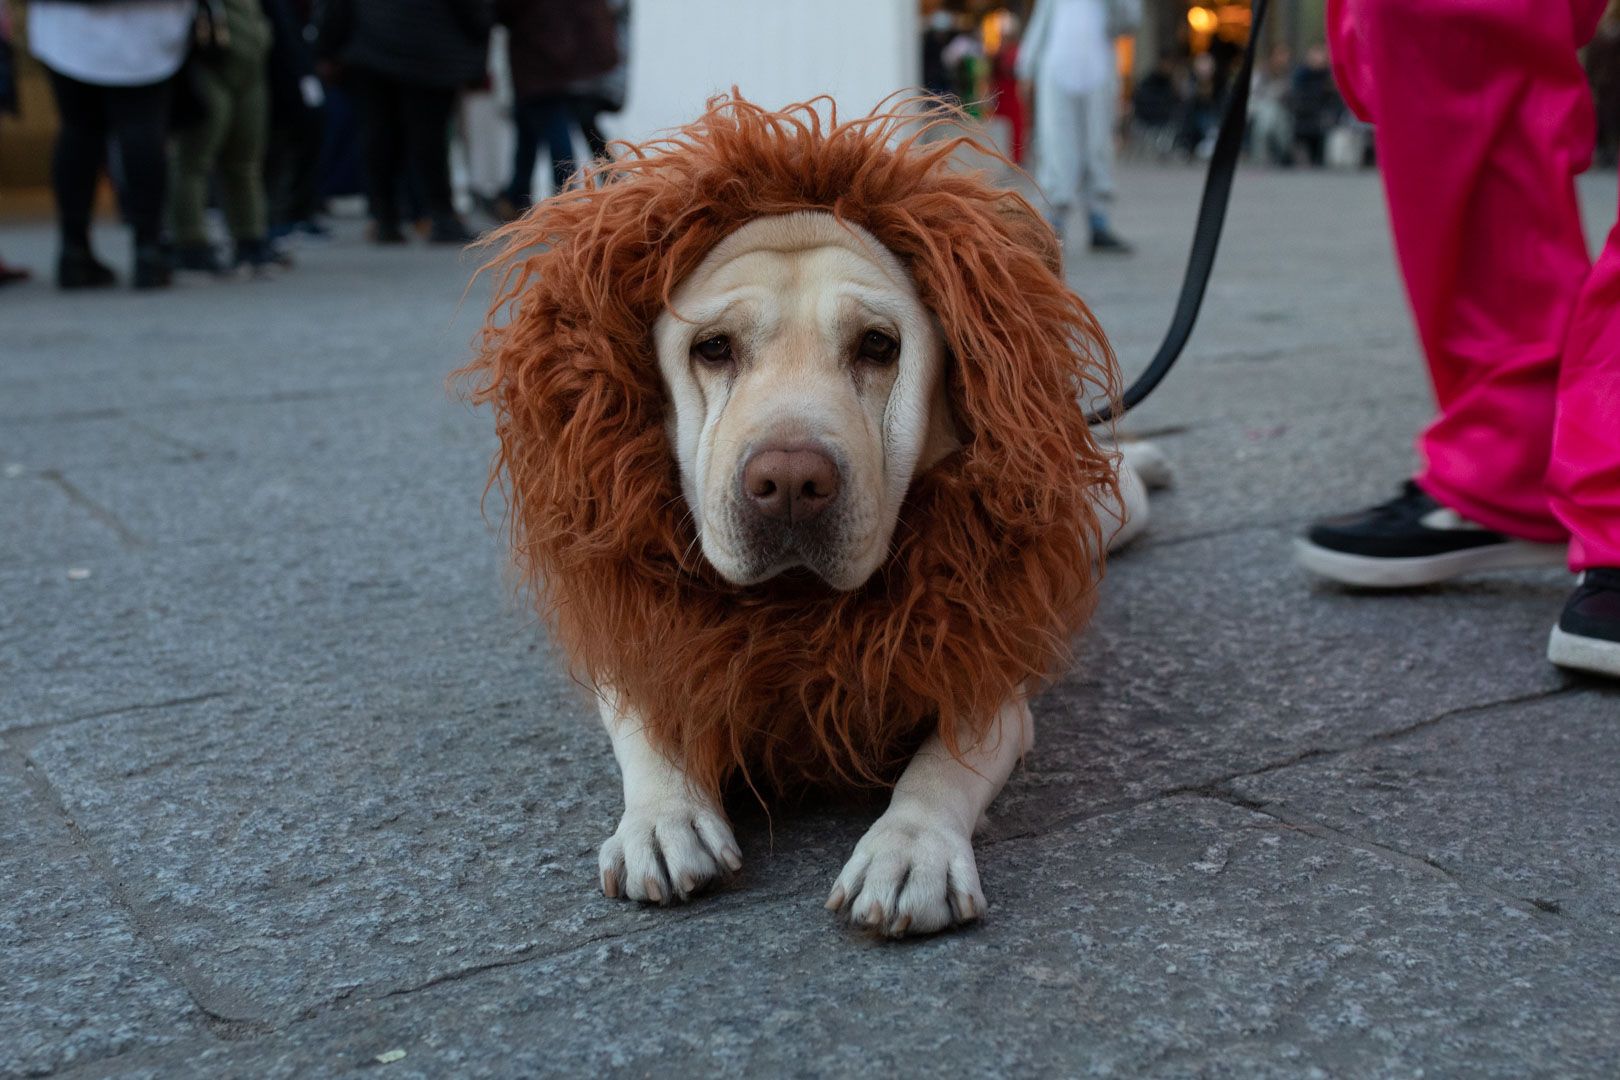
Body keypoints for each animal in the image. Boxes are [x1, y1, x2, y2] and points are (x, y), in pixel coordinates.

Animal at [463, 95, 1159, 939]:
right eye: (714, 348)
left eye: (878, 346)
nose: (791, 480)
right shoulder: (641, 639)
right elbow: (652, 721)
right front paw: (664, 818)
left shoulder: (986, 672)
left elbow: (942, 763)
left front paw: (910, 850)